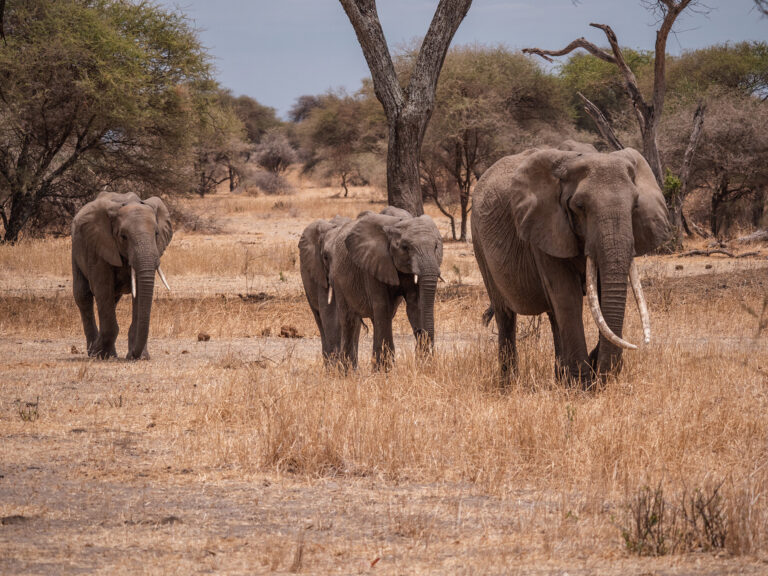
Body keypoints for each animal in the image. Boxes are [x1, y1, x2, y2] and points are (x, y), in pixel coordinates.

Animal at [71, 191, 173, 358]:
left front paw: (139, 357)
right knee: (83, 295)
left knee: (112, 298)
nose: (134, 354)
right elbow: (102, 288)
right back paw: (94, 352)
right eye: (123, 236)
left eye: (156, 233)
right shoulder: (98, 246)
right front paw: (101, 355)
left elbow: (139, 292)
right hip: (76, 248)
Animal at [328, 210, 444, 368]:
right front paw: (385, 370)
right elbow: (383, 306)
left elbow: (416, 305)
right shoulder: (372, 264)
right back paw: (347, 371)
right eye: (405, 247)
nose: (420, 331)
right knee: (349, 320)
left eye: (436, 246)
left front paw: (424, 364)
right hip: (338, 279)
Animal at [472, 144, 668, 388]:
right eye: (579, 206)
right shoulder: (544, 226)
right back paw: (509, 385)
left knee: (554, 315)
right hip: (479, 242)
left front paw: (589, 373)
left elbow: (600, 296)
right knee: (505, 314)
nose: (601, 374)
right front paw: (581, 385)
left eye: (635, 205)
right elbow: (567, 295)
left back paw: (560, 379)